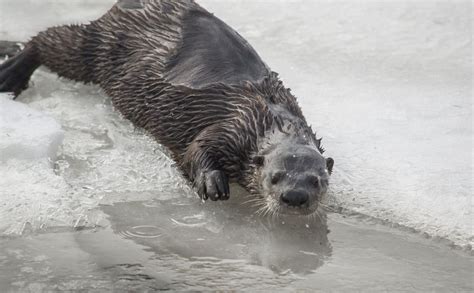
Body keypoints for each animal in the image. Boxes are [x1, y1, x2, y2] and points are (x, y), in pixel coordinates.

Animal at [0, 0, 334, 214]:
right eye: (275, 176)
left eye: (317, 180)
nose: (295, 197)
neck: (270, 118)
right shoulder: (231, 127)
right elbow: (196, 148)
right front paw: (212, 183)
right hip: (102, 45)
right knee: (52, 41)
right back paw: (12, 74)